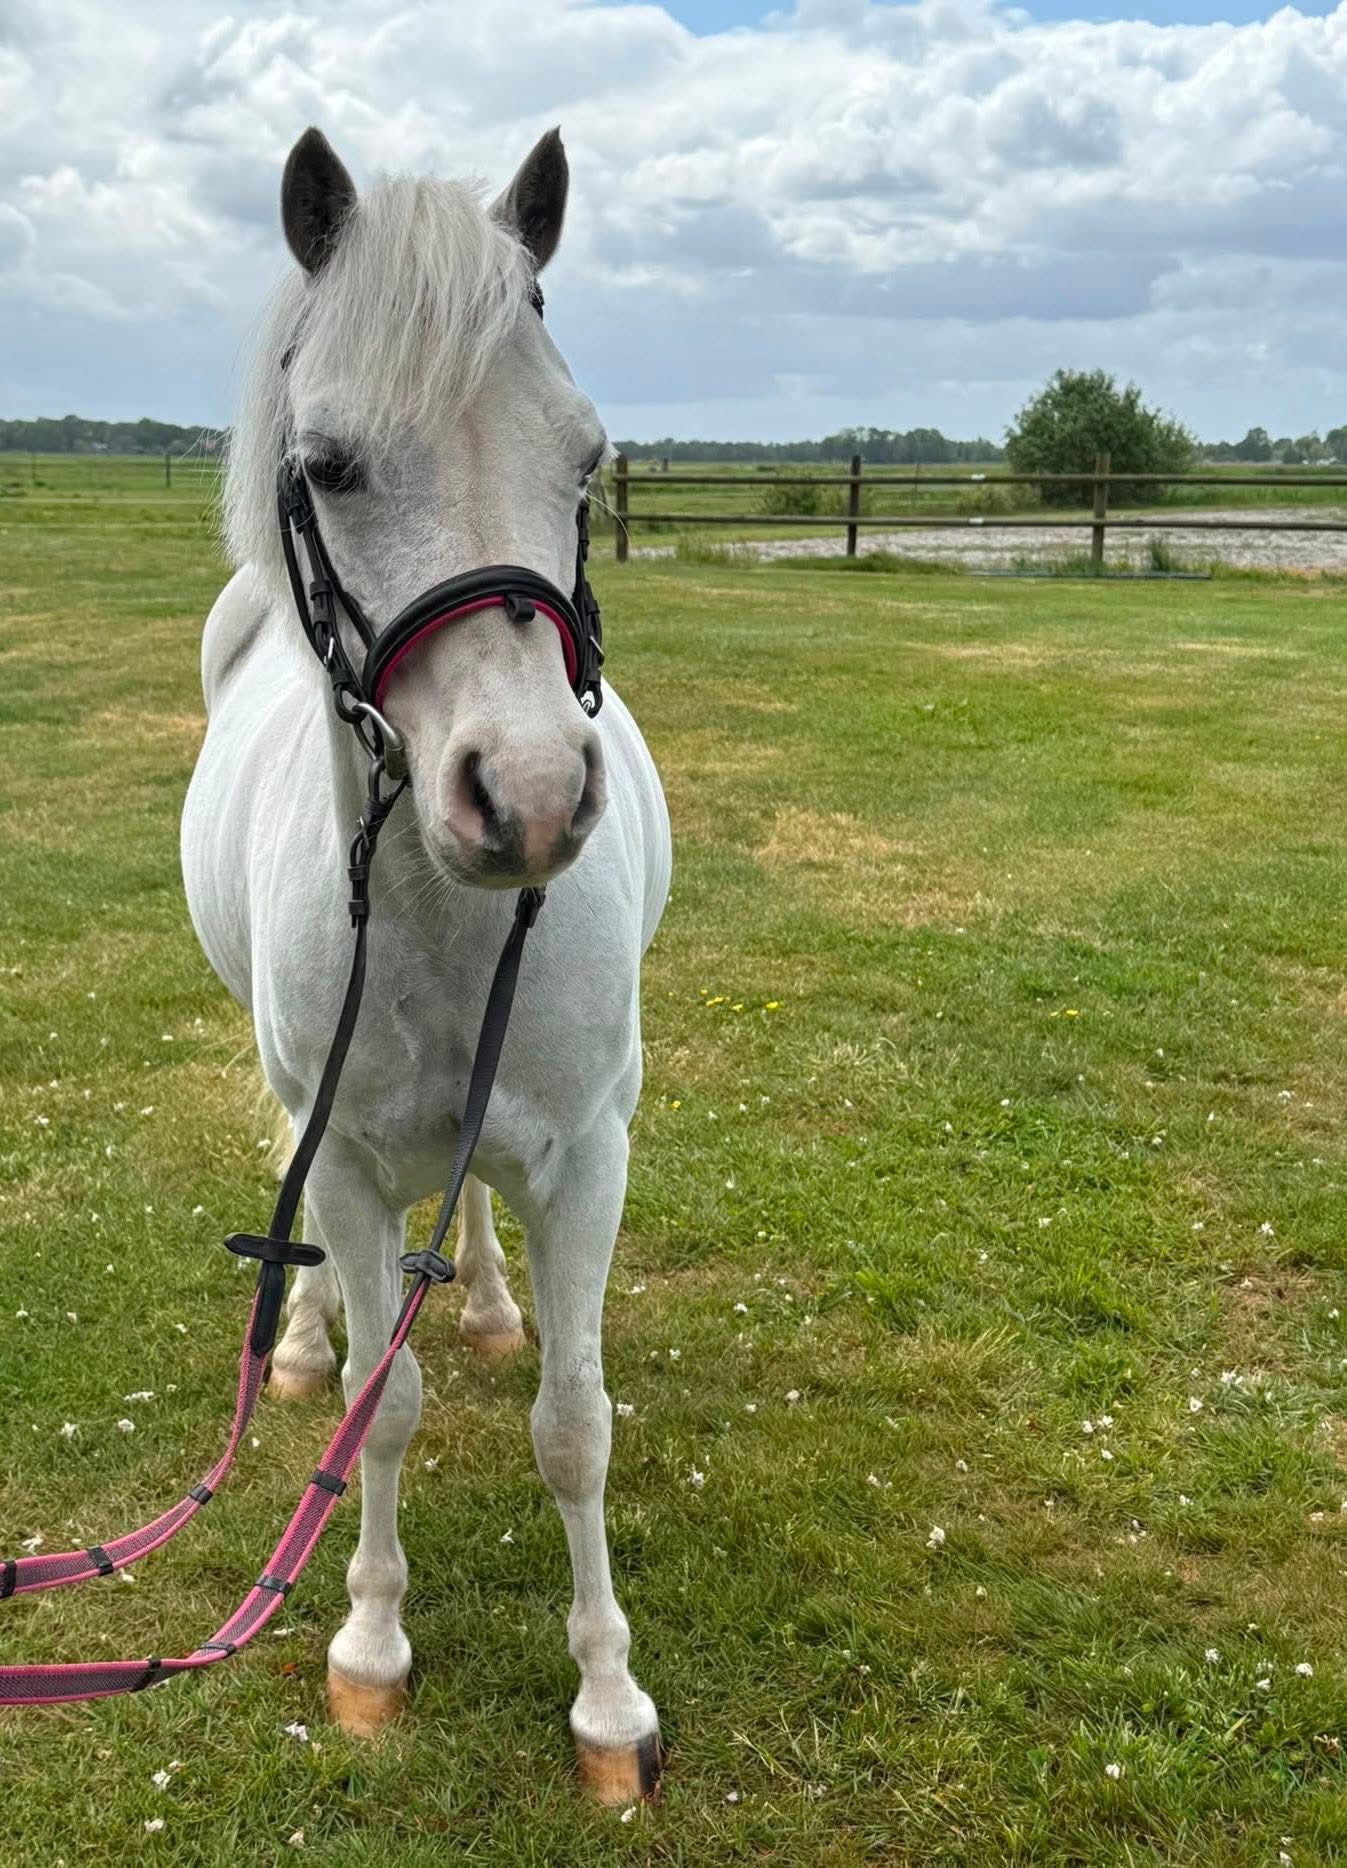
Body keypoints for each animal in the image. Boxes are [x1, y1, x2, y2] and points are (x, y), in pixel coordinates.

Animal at [180, 125, 670, 1805]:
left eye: (584, 460)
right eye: (327, 464)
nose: (524, 796)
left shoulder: (588, 1154)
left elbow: (576, 1424)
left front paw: (607, 1702)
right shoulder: (343, 1157)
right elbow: (377, 1416)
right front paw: (371, 1645)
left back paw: (483, 1299)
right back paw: (306, 1337)